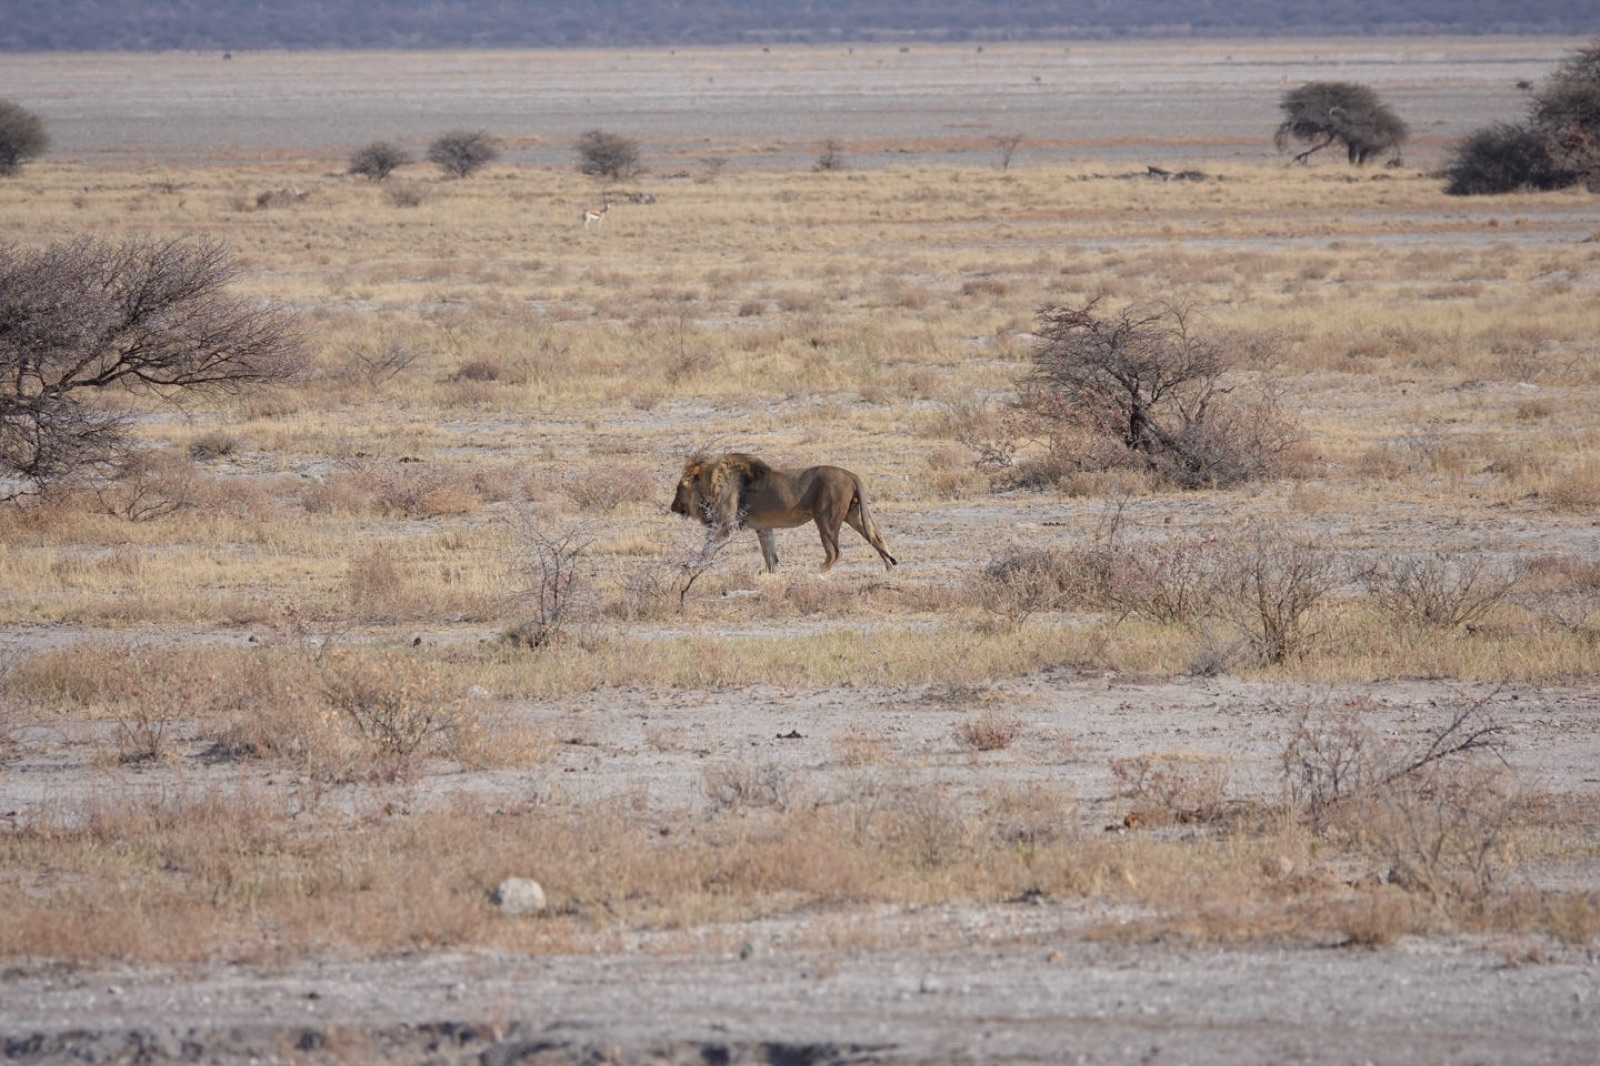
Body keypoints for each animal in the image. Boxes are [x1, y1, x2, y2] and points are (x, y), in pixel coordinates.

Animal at [670, 452, 898, 574]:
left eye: (678, 488)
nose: (672, 507)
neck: (710, 484)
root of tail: (851, 475)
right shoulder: (763, 528)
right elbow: (770, 556)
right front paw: (771, 575)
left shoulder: (725, 525)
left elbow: (707, 548)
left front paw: (693, 568)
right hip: (853, 514)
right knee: (878, 539)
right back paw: (889, 568)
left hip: (825, 519)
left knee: (835, 552)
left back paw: (815, 573)